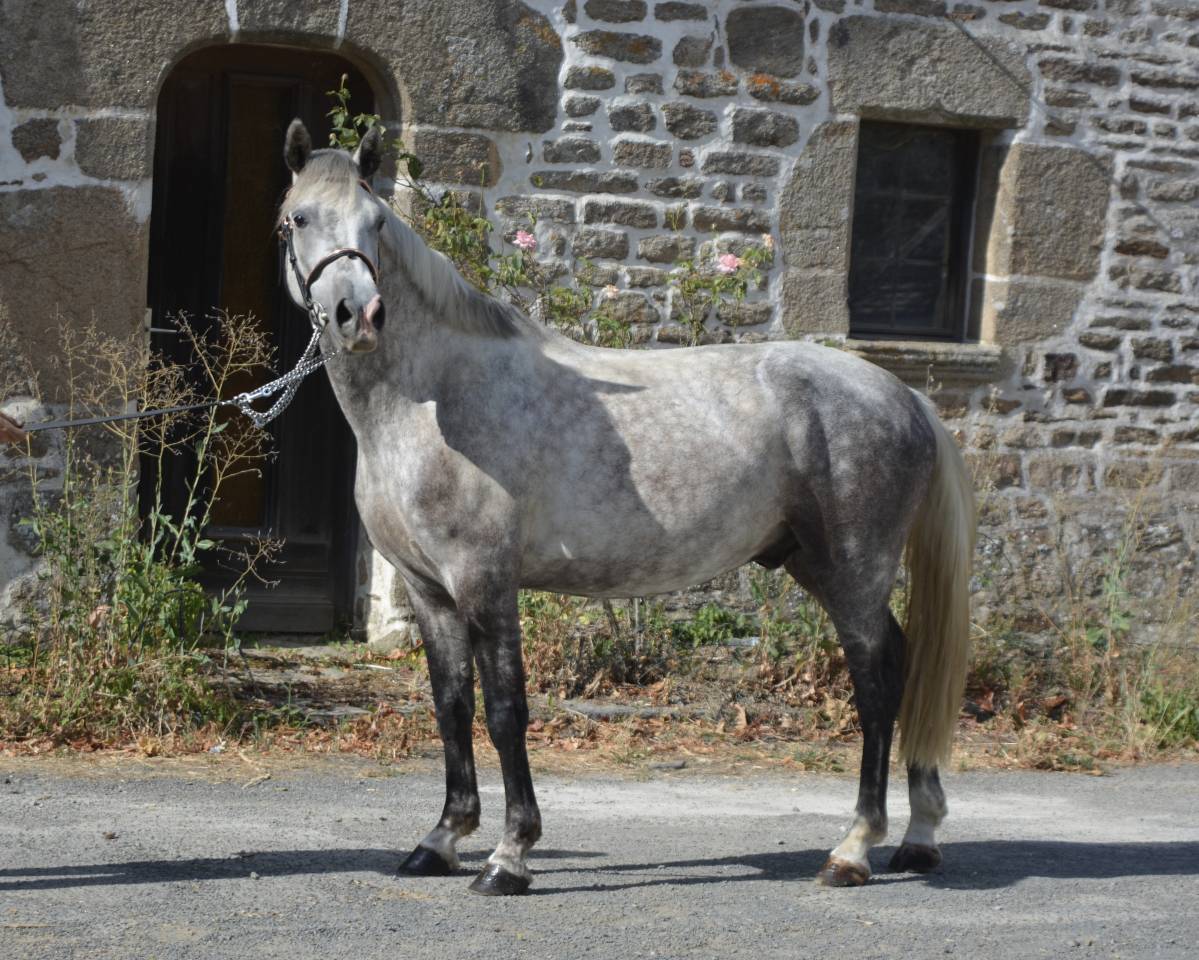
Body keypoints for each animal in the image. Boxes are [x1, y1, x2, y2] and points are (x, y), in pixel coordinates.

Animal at [274, 120, 976, 896]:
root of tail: (900, 394)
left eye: (375, 222)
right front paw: (442, 839)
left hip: (853, 570)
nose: (357, 316)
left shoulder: (486, 582)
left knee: (877, 682)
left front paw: (509, 856)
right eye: (296, 220)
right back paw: (919, 837)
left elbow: (505, 710)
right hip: (817, 565)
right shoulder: (430, 592)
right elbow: (451, 707)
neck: (431, 401)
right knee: (903, 664)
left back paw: (853, 848)